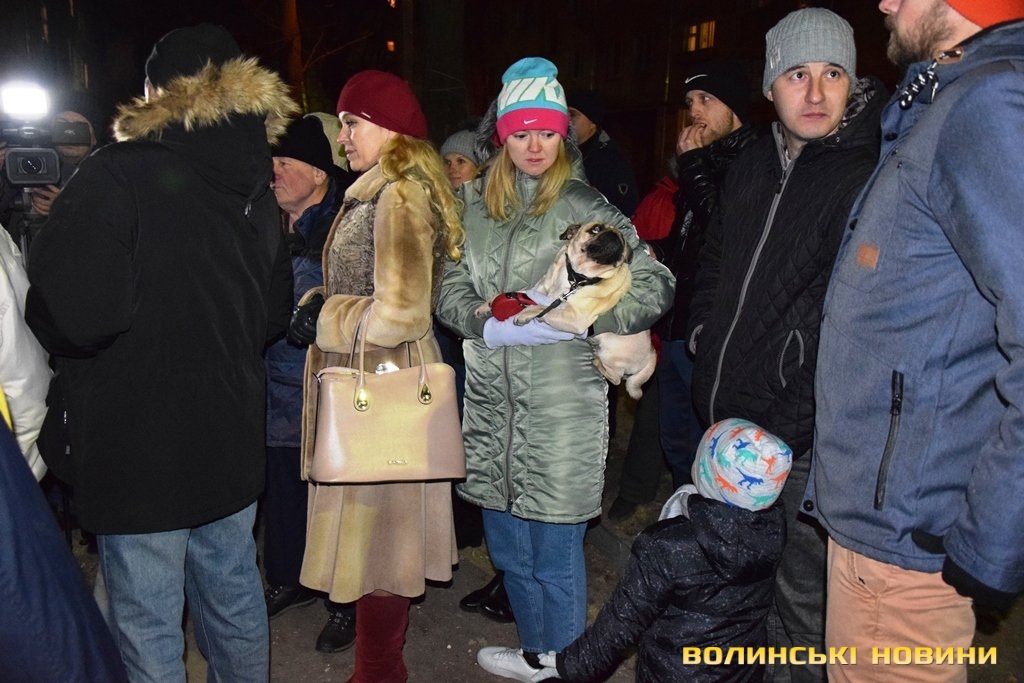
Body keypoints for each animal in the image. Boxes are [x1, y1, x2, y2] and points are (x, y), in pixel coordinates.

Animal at [477, 222, 657, 399]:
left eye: (623, 240)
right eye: (596, 229)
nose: (615, 236)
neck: (576, 277)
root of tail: (652, 354)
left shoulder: (574, 318)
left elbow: (545, 308)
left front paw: (528, 312)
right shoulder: (537, 290)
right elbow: (519, 292)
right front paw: (488, 304)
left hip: (611, 355)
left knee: (617, 378)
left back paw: (597, 361)